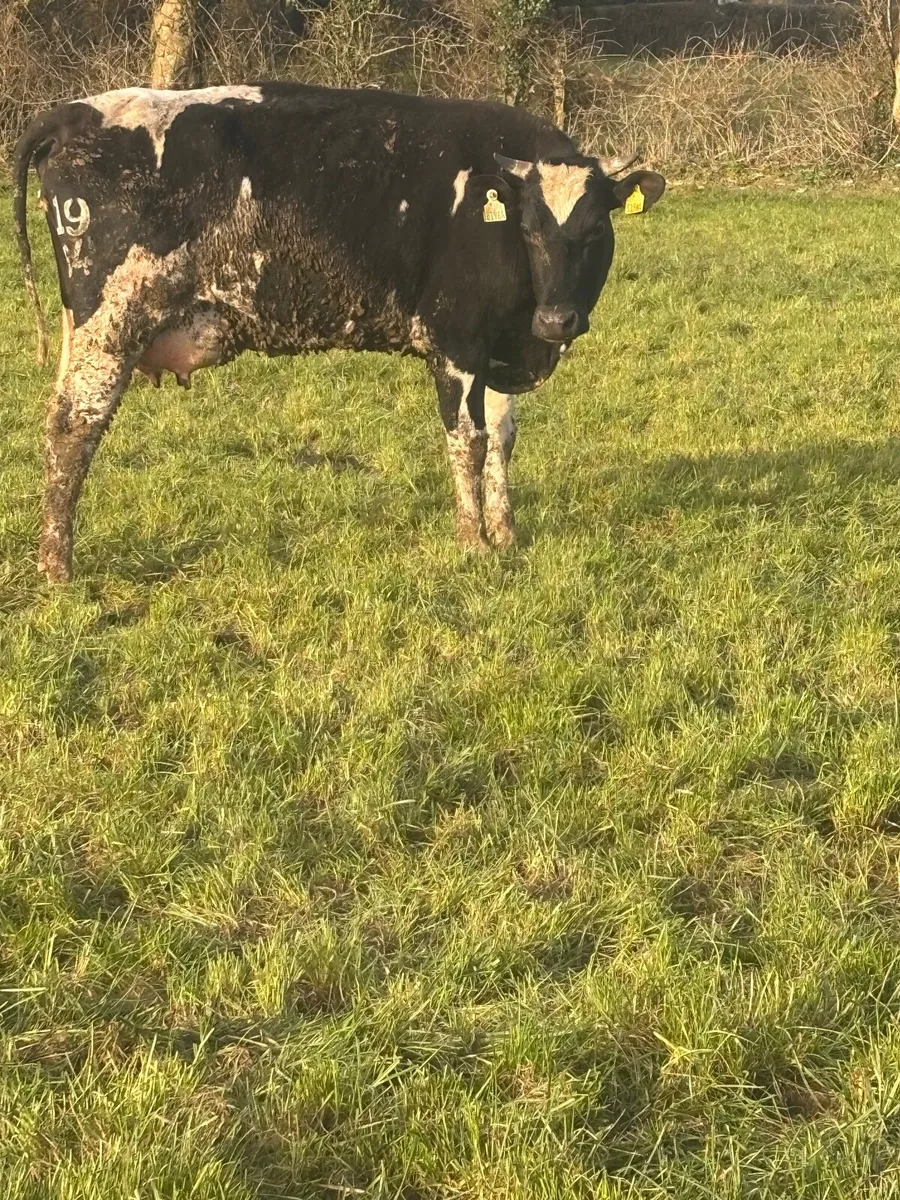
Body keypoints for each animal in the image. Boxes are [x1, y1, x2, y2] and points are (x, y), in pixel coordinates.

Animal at [14, 83, 665, 582]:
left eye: (596, 230)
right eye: (529, 229)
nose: (557, 320)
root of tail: (72, 113)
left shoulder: (498, 350)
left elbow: (503, 438)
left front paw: (506, 533)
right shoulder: (453, 343)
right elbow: (469, 442)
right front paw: (474, 541)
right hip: (111, 323)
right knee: (73, 427)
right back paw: (57, 567)